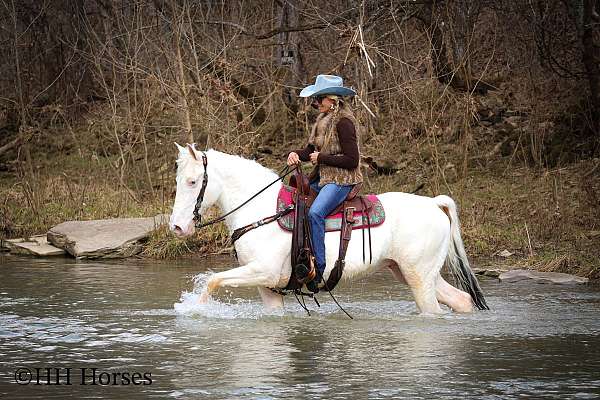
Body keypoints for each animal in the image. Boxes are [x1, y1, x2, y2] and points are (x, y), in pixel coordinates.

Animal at [168, 145, 488, 316]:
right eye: (178, 180)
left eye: (193, 182)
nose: (177, 227)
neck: (262, 211)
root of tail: (434, 203)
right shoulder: (266, 286)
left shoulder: (263, 272)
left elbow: (213, 281)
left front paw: (195, 308)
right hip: (412, 271)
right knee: (461, 300)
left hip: (418, 277)